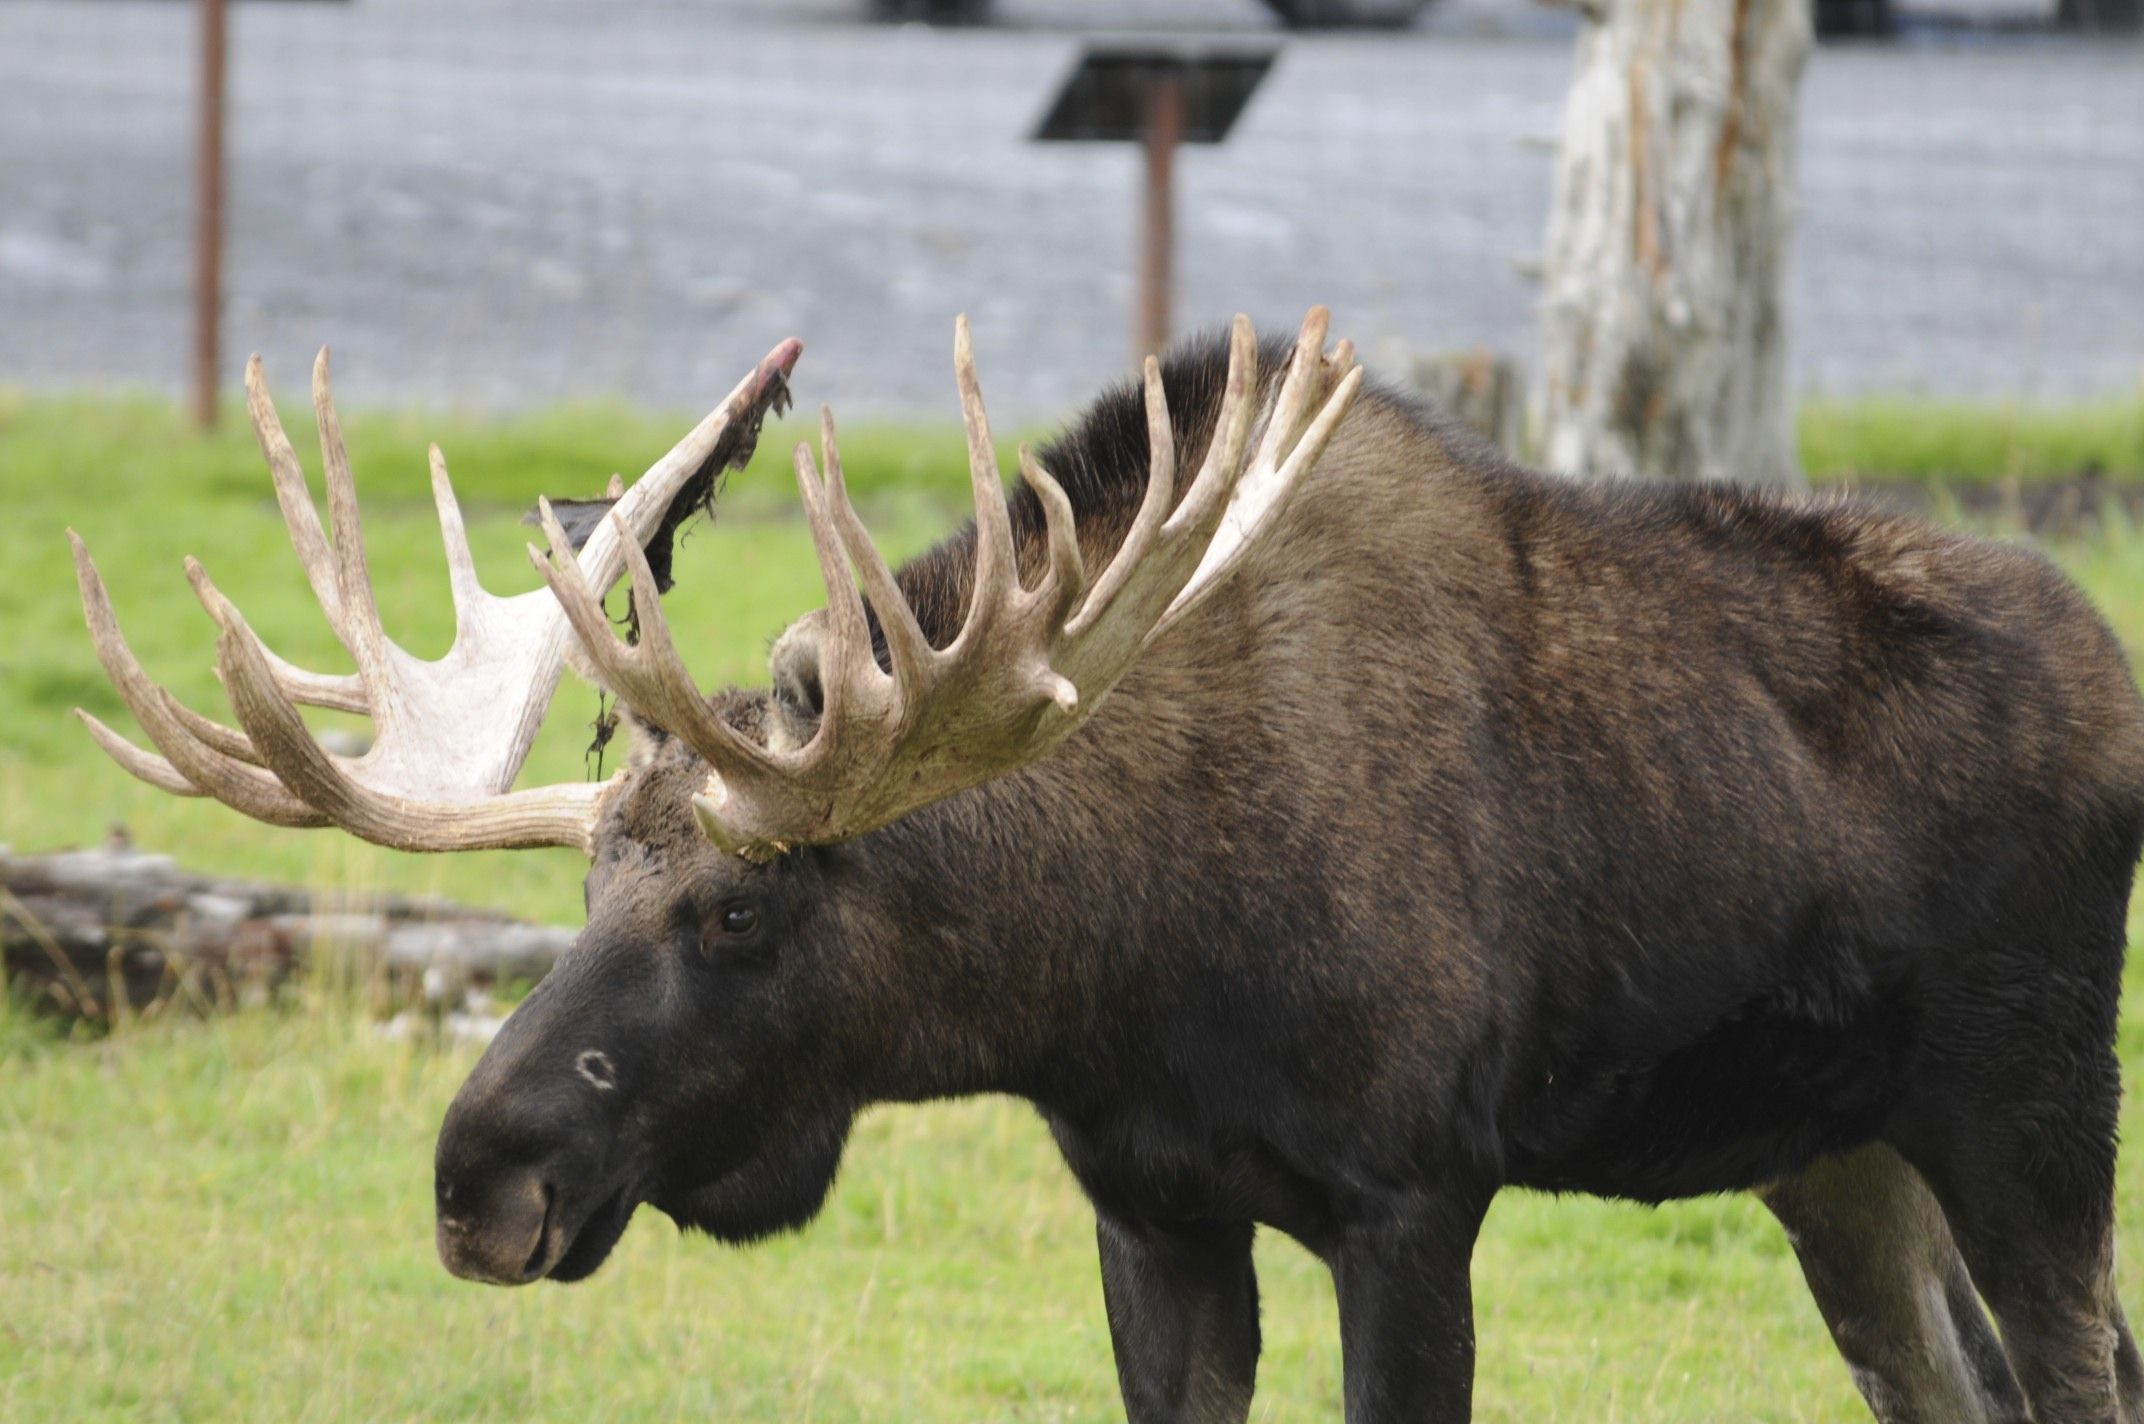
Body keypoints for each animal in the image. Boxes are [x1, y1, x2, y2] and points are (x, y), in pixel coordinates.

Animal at [71, 315, 2144, 1423]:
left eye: (737, 907)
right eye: (578, 898)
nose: (481, 1181)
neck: (1110, 971)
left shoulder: (1411, 1194)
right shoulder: (1149, 1209)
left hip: (2027, 1113)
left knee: (2076, 1366)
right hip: (1837, 1156)